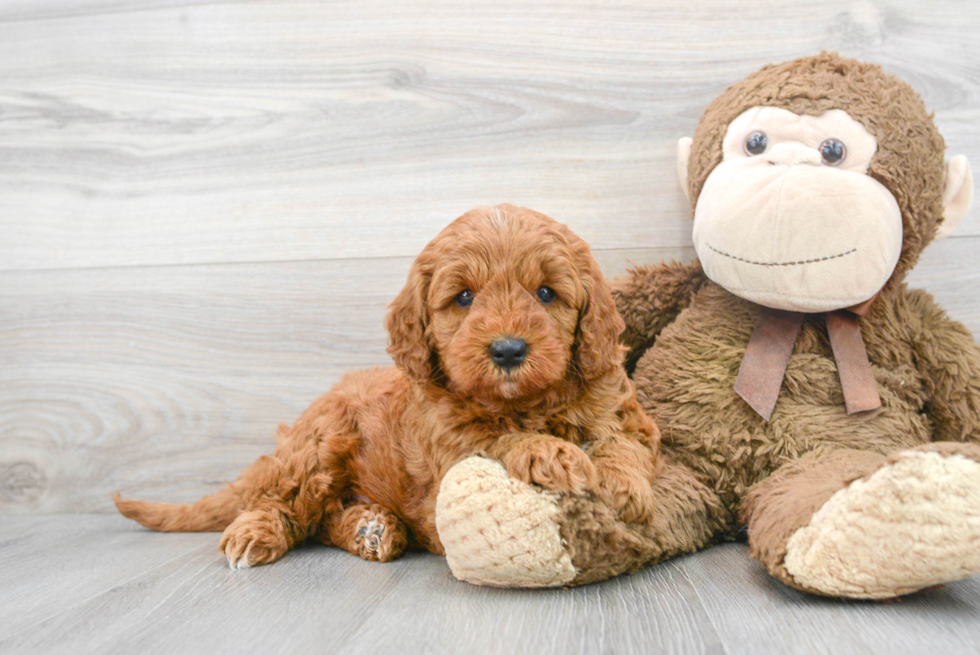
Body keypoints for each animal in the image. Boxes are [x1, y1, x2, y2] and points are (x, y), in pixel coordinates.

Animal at [117, 205, 668, 568]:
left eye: (547, 293)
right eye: (463, 296)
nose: (508, 351)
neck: (524, 403)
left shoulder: (622, 410)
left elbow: (624, 443)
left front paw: (623, 487)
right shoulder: (448, 450)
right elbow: (495, 438)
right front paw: (548, 452)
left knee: (322, 520)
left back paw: (371, 528)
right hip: (319, 445)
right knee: (285, 503)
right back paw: (259, 532)